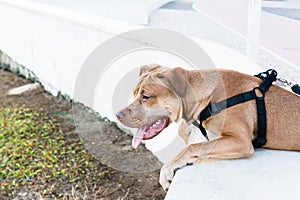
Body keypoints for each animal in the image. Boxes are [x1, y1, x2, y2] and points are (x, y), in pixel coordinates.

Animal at [115, 64, 300, 191]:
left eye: (146, 96)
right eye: (135, 93)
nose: (118, 114)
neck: (209, 96)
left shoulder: (241, 141)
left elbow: (192, 147)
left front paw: (168, 169)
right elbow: (187, 134)